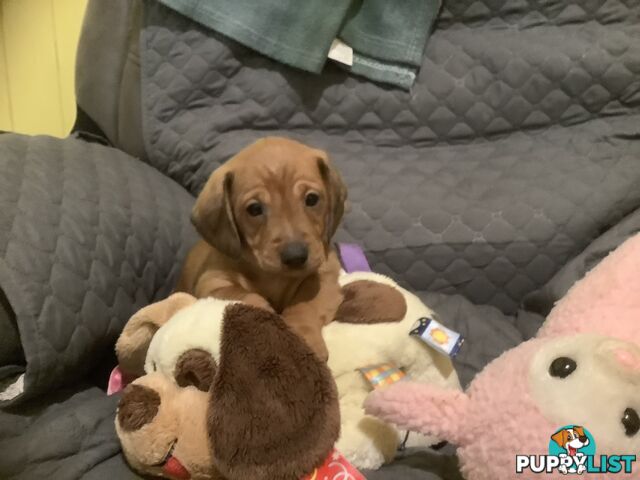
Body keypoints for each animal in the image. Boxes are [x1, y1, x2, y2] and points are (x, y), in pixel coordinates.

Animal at [175, 137, 348, 358]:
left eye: (312, 199)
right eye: (255, 209)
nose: (296, 256)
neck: (273, 277)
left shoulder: (325, 274)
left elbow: (304, 305)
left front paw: (302, 337)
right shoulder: (212, 283)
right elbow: (248, 296)